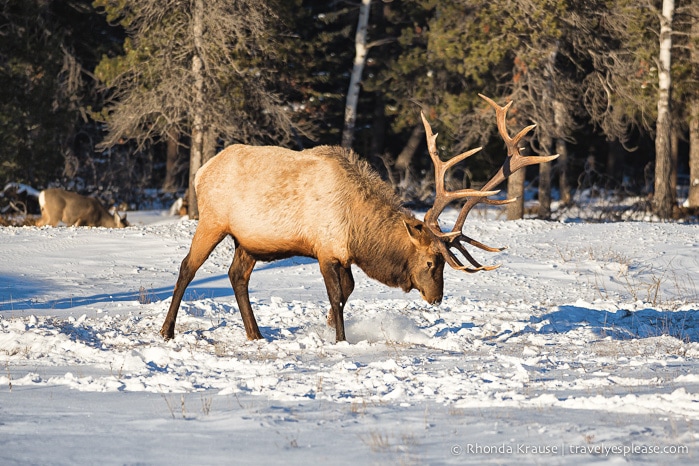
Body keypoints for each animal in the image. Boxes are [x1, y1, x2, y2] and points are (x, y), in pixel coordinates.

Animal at [161, 95, 560, 342]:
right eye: (432, 262)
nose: (436, 299)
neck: (360, 231)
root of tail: (200, 172)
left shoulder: (345, 256)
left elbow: (348, 293)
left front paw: (327, 327)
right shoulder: (326, 250)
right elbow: (338, 296)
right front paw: (339, 338)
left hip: (249, 240)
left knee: (236, 276)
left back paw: (255, 334)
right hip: (213, 221)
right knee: (187, 268)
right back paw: (167, 331)